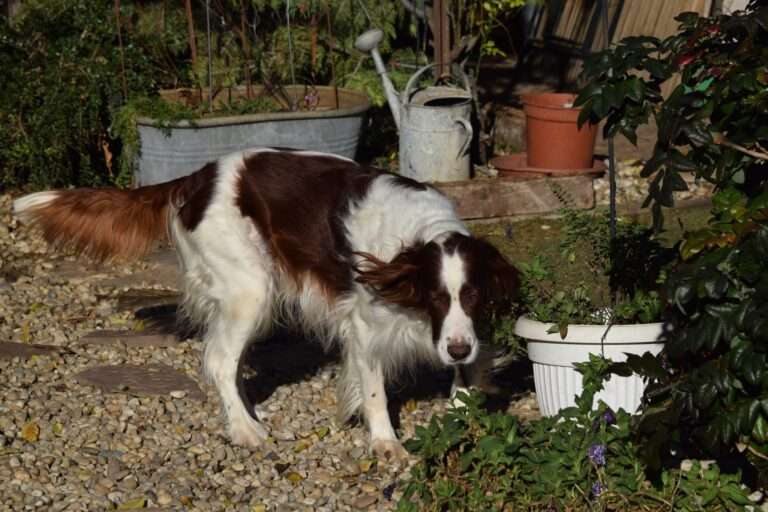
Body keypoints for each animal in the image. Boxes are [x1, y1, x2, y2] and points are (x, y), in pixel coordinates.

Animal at [13, 149, 519, 460]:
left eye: (473, 295)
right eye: (434, 297)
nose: (456, 349)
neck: (417, 237)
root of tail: (197, 179)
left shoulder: (461, 332)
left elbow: (465, 377)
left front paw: (461, 416)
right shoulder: (365, 328)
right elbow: (375, 392)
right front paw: (385, 443)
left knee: (229, 361)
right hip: (250, 290)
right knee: (218, 360)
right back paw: (244, 429)